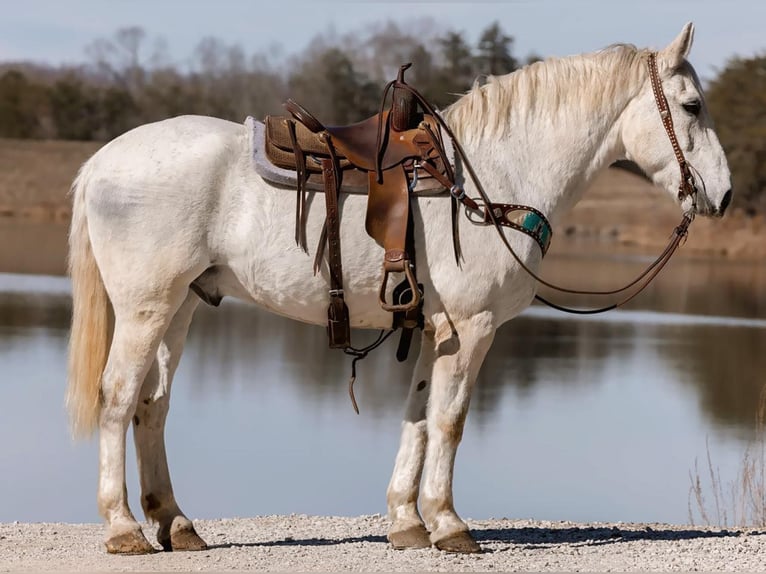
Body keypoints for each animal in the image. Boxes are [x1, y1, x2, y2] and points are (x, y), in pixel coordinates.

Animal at [64, 23, 732, 560]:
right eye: (692, 105)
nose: (722, 196)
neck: (497, 174)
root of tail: (101, 162)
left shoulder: (438, 329)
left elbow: (418, 417)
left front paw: (408, 522)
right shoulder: (473, 326)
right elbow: (450, 422)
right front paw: (450, 523)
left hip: (178, 309)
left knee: (152, 406)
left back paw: (175, 525)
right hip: (145, 308)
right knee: (118, 396)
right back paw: (123, 528)